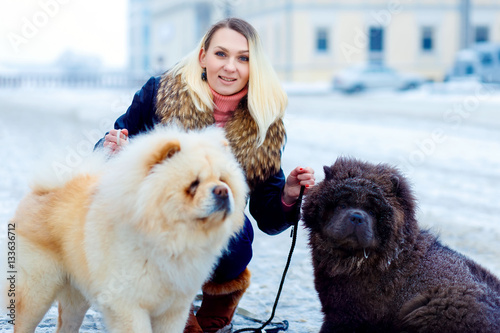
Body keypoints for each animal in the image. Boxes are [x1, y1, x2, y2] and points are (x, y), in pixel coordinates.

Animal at [9, 126, 248, 330]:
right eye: (194, 184)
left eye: (223, 180)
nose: (222, 191)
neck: (170, 239)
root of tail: (44, 188)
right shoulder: (127, 305)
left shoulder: (174, 309)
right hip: (37, 291)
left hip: (77, 294)